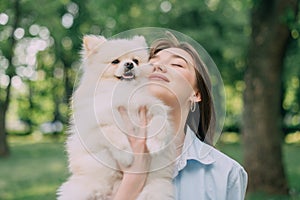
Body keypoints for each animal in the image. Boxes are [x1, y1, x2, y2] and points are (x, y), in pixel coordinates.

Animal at [56, 35, 176, 199]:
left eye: (136, 60)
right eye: (115, 62)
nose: (129, 64)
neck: (125, 90)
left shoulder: (152, 106)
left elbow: (161, 120)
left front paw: (155, 144)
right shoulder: (95, 126)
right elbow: (112, 133)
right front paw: (126, 155)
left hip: (155, 189)